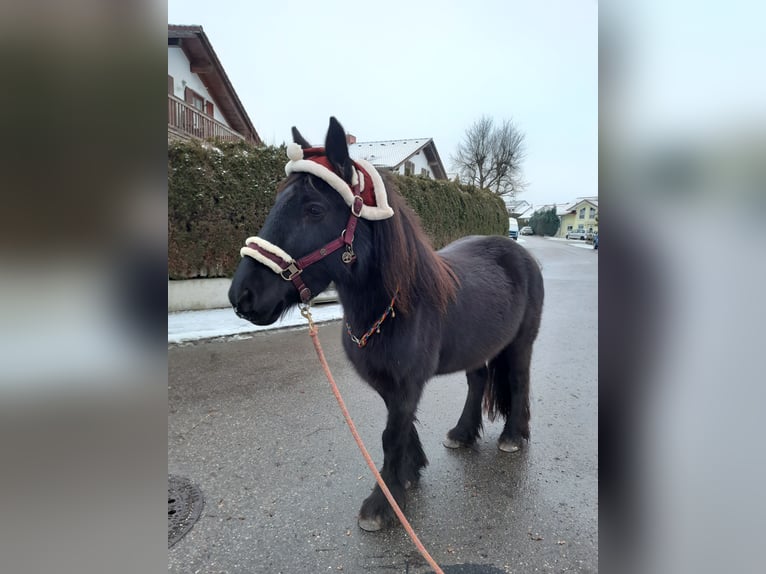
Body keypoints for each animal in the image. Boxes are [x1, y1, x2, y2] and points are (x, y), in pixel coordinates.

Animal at [229, 117, 544, 532]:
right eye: (276, 203)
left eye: (314, 209)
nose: (242, 295)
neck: (396, 306)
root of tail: (520, 253)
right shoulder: (388, 384)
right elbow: (400, 429)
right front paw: (409, 474)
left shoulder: (406, 384)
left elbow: (391, 434)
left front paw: (383, 503)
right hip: (477, 347)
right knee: (477, 382)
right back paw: (462, 434)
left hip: (522, 343)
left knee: (520, 380)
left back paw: (513, 436)